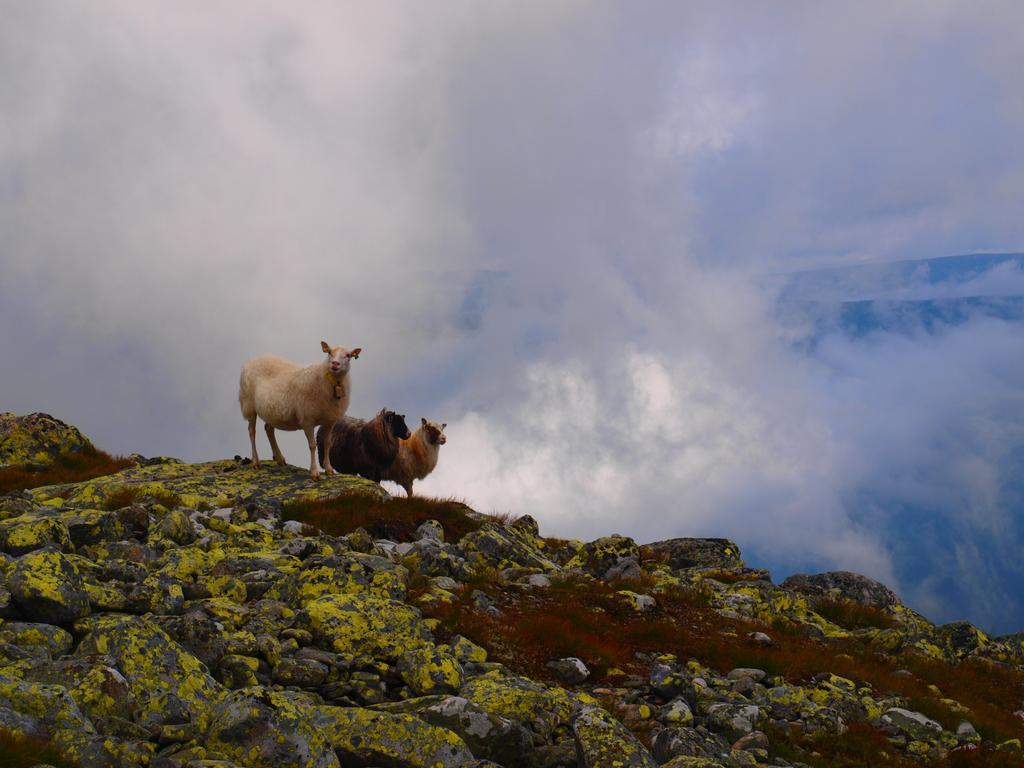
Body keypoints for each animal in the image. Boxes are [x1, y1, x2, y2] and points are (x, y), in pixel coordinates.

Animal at [237, 342, 362, 481]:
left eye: (348, 355)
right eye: (329, 352)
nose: (335, 364)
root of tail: (252, 360)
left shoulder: (330, 420)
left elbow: (327, 443)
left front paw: (329, 469)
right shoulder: (307, 419)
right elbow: (312, 445)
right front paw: (314, 473)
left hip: (271, 410)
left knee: (268, 429)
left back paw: (279, 458)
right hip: (248, 404)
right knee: (252, 431)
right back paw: (256, 462)